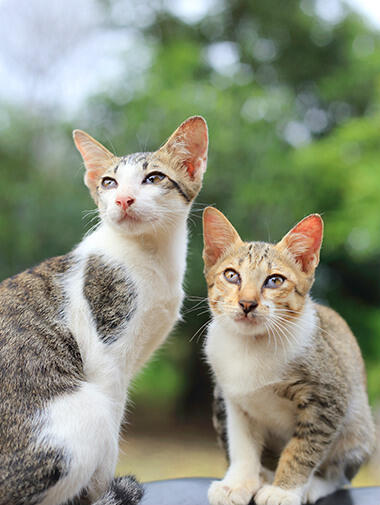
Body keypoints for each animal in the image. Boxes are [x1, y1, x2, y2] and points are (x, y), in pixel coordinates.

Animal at [0, 115, 208, 504]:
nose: (124, 199)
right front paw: (102, 491)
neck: (153, 260)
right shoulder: (107, 356)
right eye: (109, 183)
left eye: (154, 178)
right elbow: (113, 430)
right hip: (84, 412)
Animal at [203, 207, 376, 504]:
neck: (252, 346)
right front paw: (238, 483)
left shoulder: (329, 398)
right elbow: (242, 445)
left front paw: (284, 490)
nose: (247, 303)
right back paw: (262, 475)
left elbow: (302, 448)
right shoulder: (232, 398)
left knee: (341, 474)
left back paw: (313, 485)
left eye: (275, 280)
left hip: (359, 424)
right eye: (231, 275)